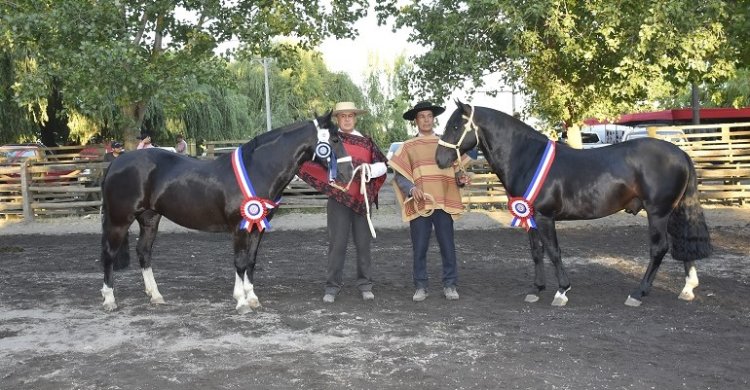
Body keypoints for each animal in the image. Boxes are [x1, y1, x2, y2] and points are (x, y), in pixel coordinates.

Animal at [100, 112, 356, 314]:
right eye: (335, 139)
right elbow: (240, 262)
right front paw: (241, 302)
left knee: (144, 252)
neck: (257, 169)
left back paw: (155, 296)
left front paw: (252, 298)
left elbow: (250, 261)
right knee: (109, 254)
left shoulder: (257, 227)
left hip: (149, 218)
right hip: (120, 220)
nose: (349, 172)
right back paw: (110, 299)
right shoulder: (240, 227)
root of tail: (117, 163)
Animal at [434, 101, 712, 308]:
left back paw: (638, 293)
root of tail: (681, 153)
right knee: (681, 244)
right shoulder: (530, 217)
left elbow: (553, 251)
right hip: (672, 211)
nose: (439, 159)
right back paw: (687, 288)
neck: (527, 158)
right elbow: (536, 252)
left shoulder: (544, 216)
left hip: (657, 213)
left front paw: (561, 291)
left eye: (456, 125)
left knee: (659, 249)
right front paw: (536, 289)